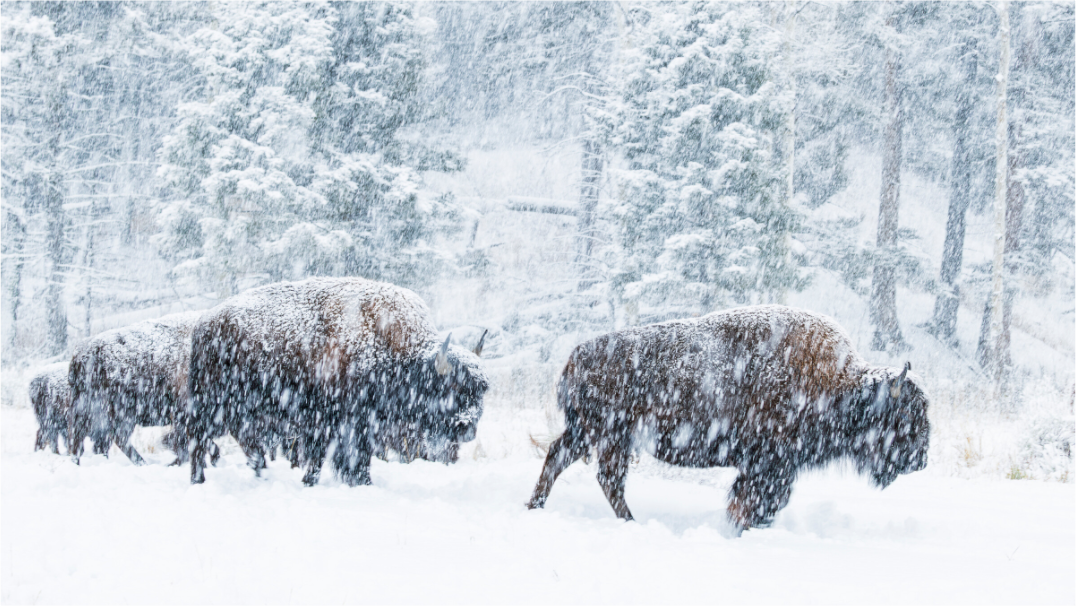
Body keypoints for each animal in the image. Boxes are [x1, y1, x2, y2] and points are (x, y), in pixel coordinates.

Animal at [187, 277, 489, 485]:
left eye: (482, 392)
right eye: (451, 388)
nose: (467, 428)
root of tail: (205, 323)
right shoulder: (334, 420)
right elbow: (331, 456)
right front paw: (318, 482)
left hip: (242, 410)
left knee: (244, 440)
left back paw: (258, 471)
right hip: (211, 404)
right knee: (198, 441)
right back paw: (199, 480)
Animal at [527, 305, 930, 533]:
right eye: (905, 415)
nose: (921, 460)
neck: (839, 386)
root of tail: (577, 355)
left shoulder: (775, 469)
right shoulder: (768, 467)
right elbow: (755, 501)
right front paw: (741, 527)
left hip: (589, 433)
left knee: (560, 458)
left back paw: (535, 508)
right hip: (611, 436)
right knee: (607, 479)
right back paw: (630, 523)